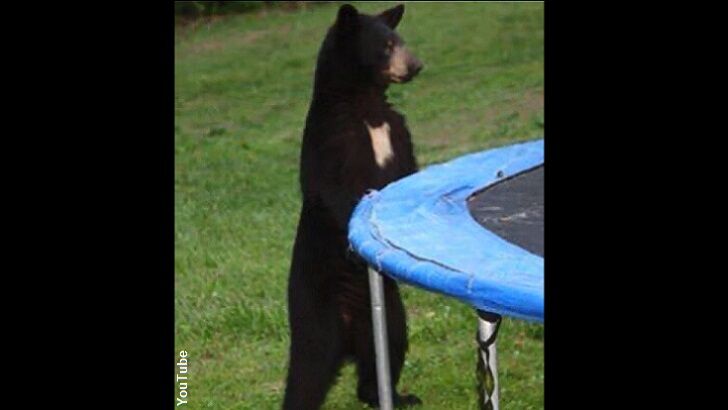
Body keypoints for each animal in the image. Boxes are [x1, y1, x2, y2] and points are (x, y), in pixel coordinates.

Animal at [283, 4, 423, 409]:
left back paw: (394, 395)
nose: (416, 65)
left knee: (387, 352)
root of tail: (348, 336)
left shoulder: (397, 132)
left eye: (399, 39)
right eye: (387, 45)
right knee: (306, 374)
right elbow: (333, 189)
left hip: (389, 314)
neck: (366, 106)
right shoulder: (332, 137)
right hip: (314, 315)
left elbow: (407, 174)